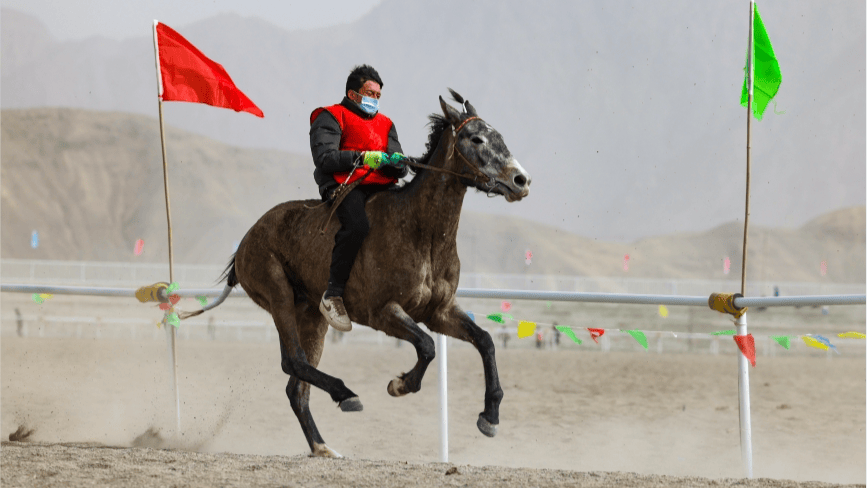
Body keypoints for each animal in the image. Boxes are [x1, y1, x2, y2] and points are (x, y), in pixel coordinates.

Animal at [186, 90, 532, 458]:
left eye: (500, 136)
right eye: (476, 138)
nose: (521, 180)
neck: (420, 232)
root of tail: (245, 243)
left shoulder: (439, 312)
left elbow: (485, 341)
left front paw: (490, 416)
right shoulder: (382, 312)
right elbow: (426, 346)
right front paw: (400, 384)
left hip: (313, 316)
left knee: (296, 388)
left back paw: (323, 446)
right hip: (278, 294)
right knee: (293, 361)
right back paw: (345, 394)